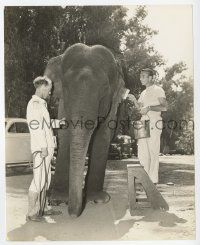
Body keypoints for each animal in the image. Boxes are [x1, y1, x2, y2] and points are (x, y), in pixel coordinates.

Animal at [44, 42, 141, 216]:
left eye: (104, 90)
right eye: (66, 87)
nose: (73, 215)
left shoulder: (113, 104)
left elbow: (102, 136)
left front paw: (98, 200)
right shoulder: (63, 102)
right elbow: (66, 135)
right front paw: (58, 200)